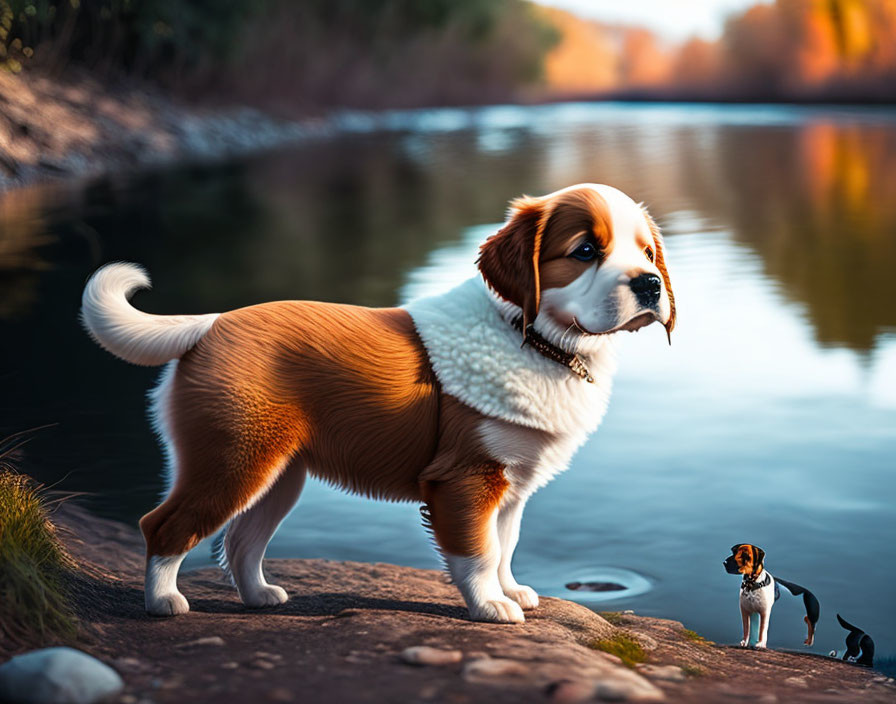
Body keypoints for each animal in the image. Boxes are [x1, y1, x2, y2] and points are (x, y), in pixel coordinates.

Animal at [82, 184, 672, 624]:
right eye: (586, 252)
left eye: (647, 253)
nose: (650, 284)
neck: (534, 338)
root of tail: (211, 324)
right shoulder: (466, 479)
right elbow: (478, 551)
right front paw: (490, 606)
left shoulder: (512, 483)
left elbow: (505, 544)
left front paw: (512, 590)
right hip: (232, 461)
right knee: (164, 525)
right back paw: (163, 602)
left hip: (277, 474)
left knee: (243, 540)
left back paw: (259, 597)